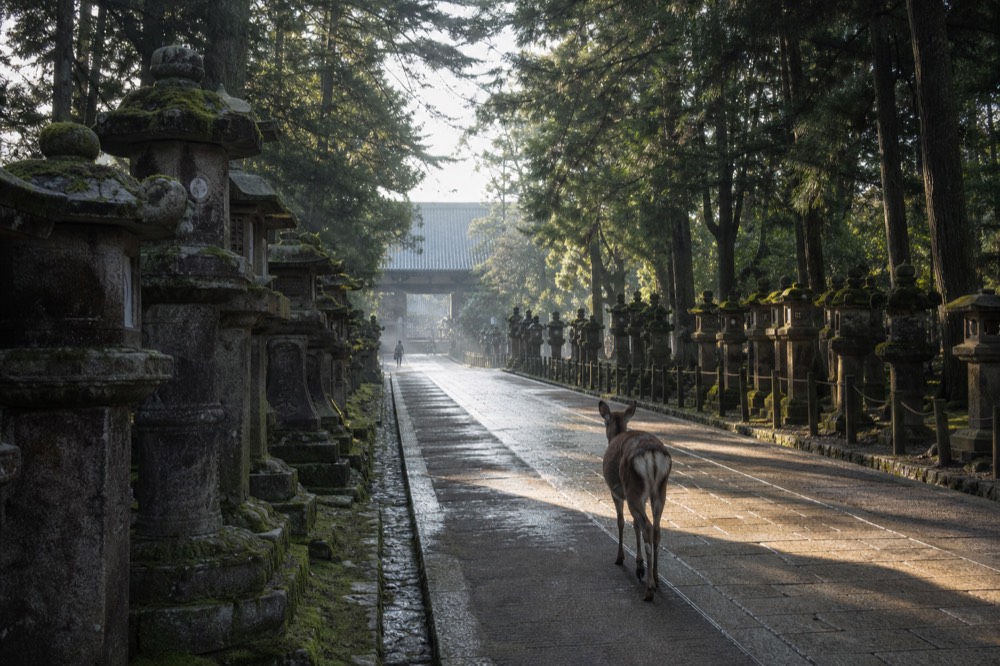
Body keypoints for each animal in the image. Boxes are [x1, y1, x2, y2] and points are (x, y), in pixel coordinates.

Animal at [598, 400, 672, 601]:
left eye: (605, 422)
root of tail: (652, 455)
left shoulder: (615, 492)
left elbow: (622, 521)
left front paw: (622, 558)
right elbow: (634, 524)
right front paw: (639, 566)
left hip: (632, 489)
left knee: (646, 526)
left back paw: (649, 589)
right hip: (659, 491)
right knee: (656, 529)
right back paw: (656, 577)